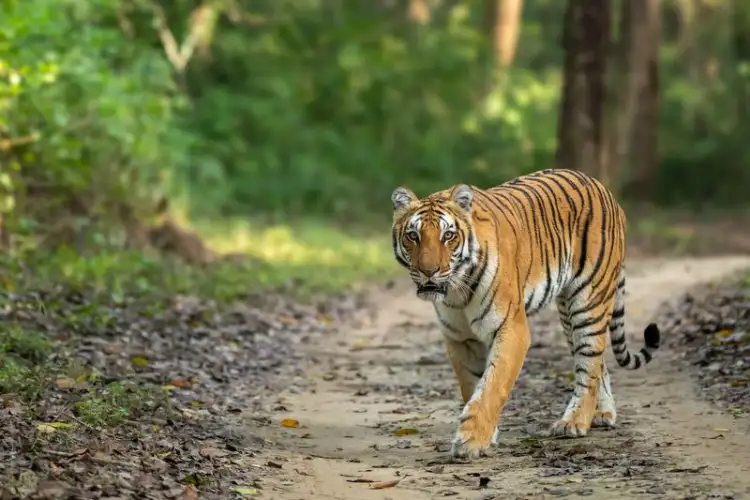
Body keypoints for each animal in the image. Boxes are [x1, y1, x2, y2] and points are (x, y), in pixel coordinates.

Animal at [390, 168, 661, 460]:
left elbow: (492, 385)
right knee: (598, 362)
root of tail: (603, 189)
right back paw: (602, 413)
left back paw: (575, 421)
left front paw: (471, 441)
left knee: (589, 364)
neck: (457, 291)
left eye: (448, 236)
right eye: (413, 236)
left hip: (589, 301)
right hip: (568, 314)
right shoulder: (460, 339)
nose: (428, 271)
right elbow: (472, 386)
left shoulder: (511, 328)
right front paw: (486, 434)